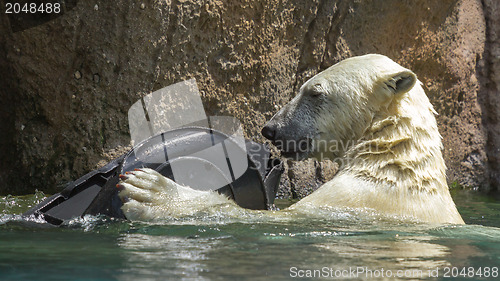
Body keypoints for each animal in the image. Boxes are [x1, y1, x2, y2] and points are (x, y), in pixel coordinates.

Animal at [116, 54, 464, 223]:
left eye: (314, 92)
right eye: (302, 87)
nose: (271, 129)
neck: (393, 159)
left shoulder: (354, 201)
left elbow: (268, 220)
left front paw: (150, 192)